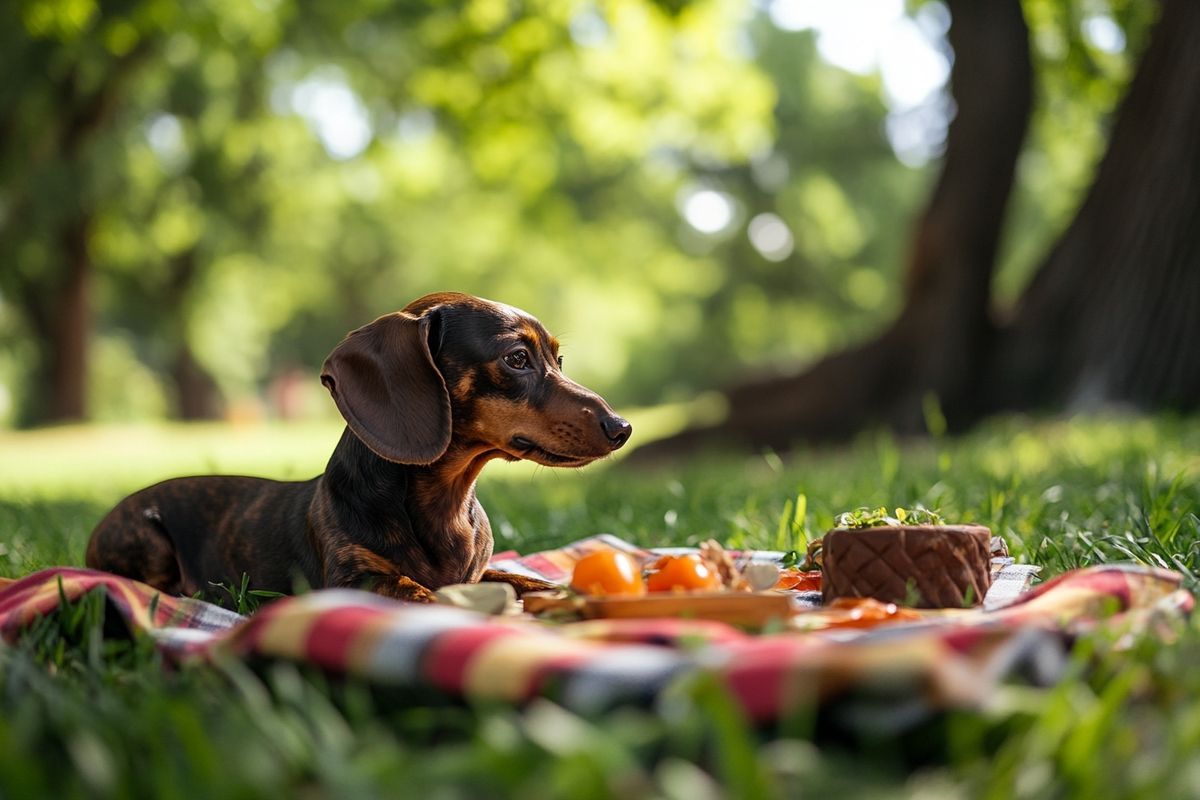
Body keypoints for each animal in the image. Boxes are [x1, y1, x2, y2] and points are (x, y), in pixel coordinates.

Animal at [87, 296, 633, 606]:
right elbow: (422, 593)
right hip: (147, 535)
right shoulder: (354, 581)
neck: (447, 503)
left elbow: (521, 577)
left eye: (558, 359)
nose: (622, 426)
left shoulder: (481, 571)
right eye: (517, 358)